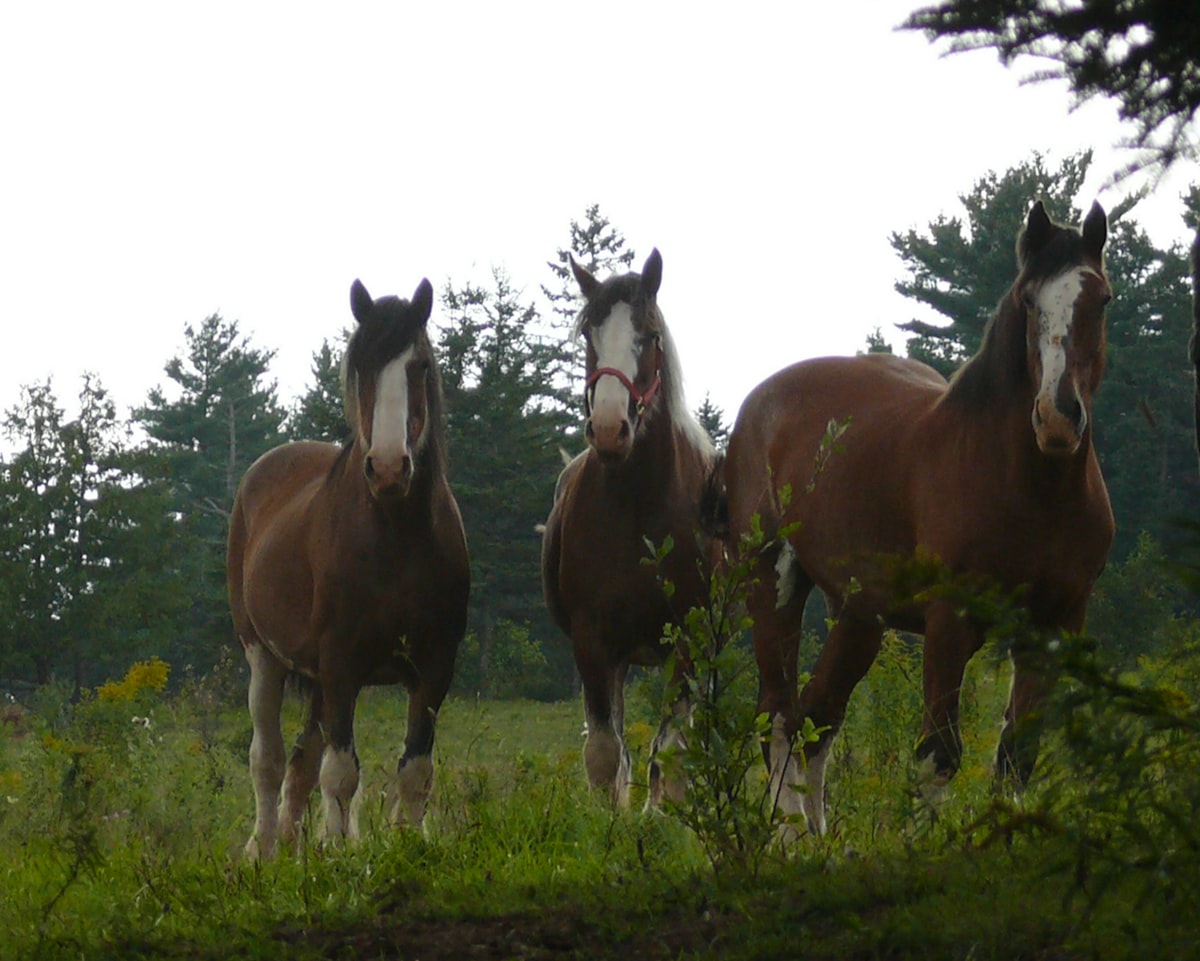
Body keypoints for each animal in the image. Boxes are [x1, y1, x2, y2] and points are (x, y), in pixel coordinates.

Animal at [227, 277, 469, 858]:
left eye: (418, 365)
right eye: (361, 364)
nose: (388, 468)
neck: (396, 535)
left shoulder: (434, 667)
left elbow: (415, 770)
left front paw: (406, 846)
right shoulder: (341, 664)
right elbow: (340, 773)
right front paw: (338, 856)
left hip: (317, 680)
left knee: (299, 762)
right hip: (263, 656)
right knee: (268, 759)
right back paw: (262, 849)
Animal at [542, 249, 721, 807]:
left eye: (650, 334)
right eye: (588, 334)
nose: (607, 429)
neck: (640, 507)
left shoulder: (689, 636)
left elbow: (673, 756)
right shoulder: (593, 643)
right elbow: (605, 756)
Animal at [722, 201, 1115, 834]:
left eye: (1100, 299)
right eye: (1030, 300)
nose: (1057, 418)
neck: (1031, 489)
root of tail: (759, 404)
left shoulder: (1055, 623)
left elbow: (1018, 755)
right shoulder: (949, 621)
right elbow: (939, 754)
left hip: (859, 616)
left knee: (816, 723)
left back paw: (817, 841)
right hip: (773, 584)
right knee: (778, 718)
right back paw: (789, 838)